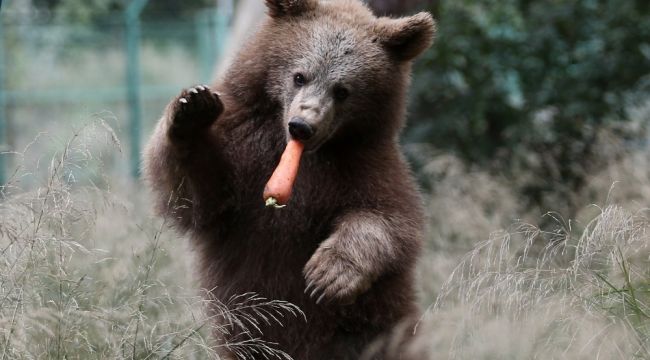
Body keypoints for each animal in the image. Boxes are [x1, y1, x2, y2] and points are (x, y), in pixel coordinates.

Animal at [144, 0, 432, 358]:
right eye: (299, 76)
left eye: (342, 90)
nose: (302, 126)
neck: (300, 156)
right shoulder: (242, 152)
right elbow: (198, 198)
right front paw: (192, 109)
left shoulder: (364, 165)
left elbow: (388, 218)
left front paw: (328, 274)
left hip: (376, 322)